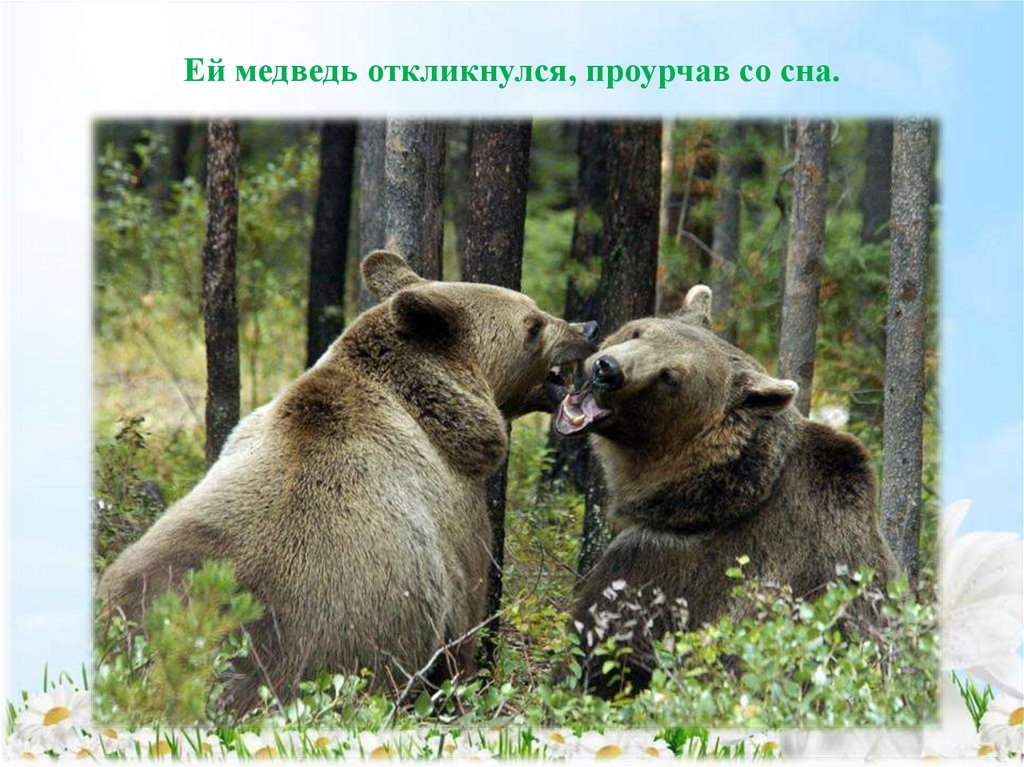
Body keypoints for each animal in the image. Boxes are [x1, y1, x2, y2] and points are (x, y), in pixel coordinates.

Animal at [97, 250, 597, 712]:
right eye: (533, 323)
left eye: (536, 310)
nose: (587, 327)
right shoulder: (455, 525)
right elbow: (463, 628)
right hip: (316, 643)